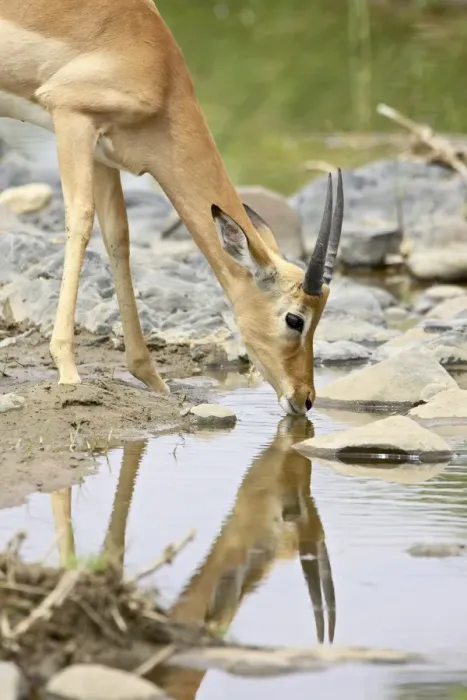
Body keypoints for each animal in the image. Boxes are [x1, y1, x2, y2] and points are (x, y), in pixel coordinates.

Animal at [0, 0, 344, 416]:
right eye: (295, 319)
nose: (304, 397)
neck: (157, 68)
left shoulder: (105, 153)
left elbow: (118, 237)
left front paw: (153, 378)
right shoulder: (71, 118)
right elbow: (80, 222)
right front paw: (68, 370)